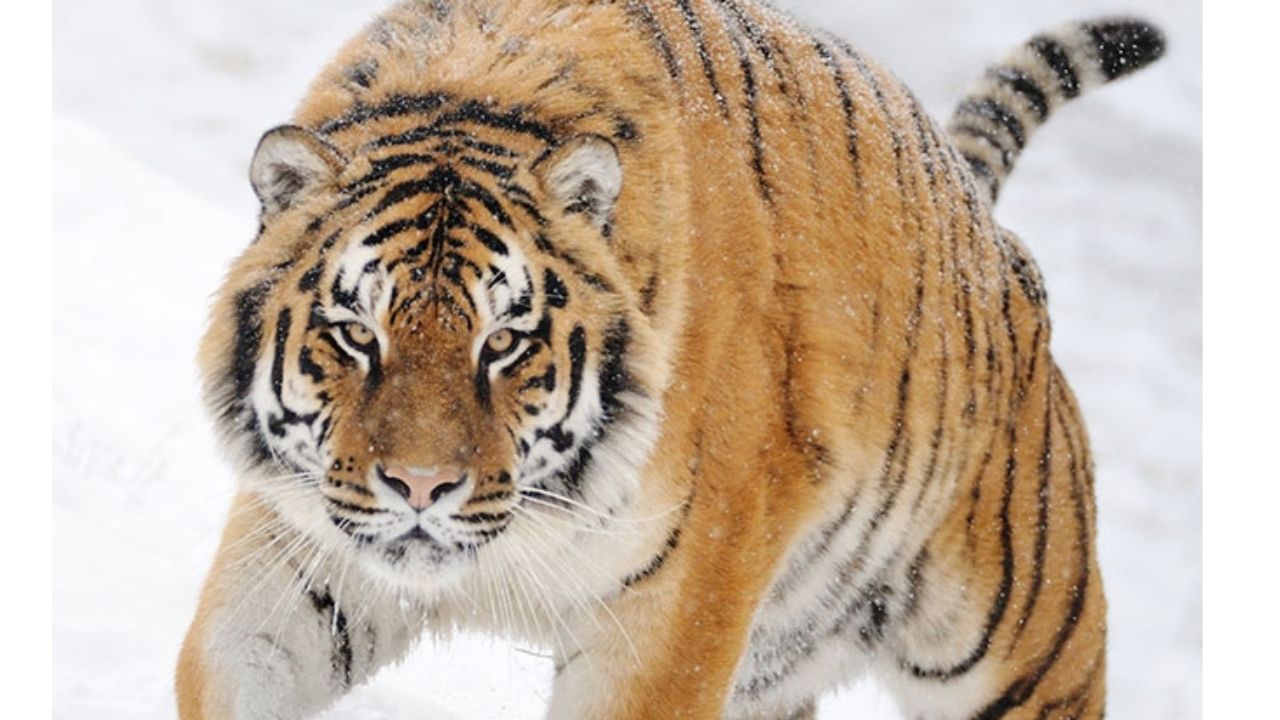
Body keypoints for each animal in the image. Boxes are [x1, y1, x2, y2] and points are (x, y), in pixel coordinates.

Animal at [175, 1, 1165, 718]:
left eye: (503, 342)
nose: (421, 488)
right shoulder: (299, 558)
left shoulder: (673, 620)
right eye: (356, 333)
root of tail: (990, 237)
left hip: (1026, 640)